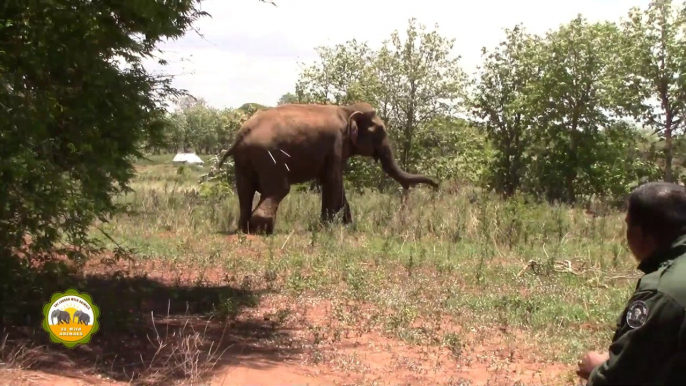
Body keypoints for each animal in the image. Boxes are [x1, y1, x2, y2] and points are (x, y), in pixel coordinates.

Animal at [219, 102, 440, 235]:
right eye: (381, 131)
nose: (437, 185)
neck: (347, 109)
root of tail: (241, 135)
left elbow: (331, 181)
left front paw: (346, 226)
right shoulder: (336, 143)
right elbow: (333, 180)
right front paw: (328, 228)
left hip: (244, 160)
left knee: (245, 191)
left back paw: (244, 229)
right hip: (269, 157)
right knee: (279, 189)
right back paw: (263, 230)